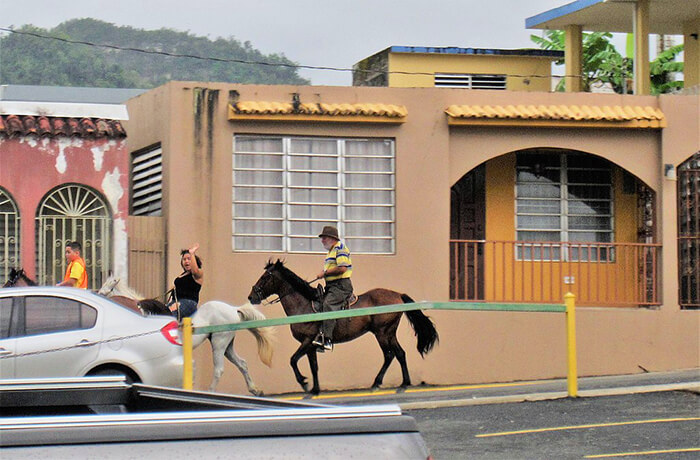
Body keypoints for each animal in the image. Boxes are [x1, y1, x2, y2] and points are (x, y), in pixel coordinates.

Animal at [246, 260, 434, 394]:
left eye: (265, 276)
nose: (251, 296)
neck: (303, 305)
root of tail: (398, 295)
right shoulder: (311, 345)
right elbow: (314, 366)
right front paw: (314, 390)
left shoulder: (307, 341)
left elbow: (293, 360)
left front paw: (304, 383)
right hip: (389, 333)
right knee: (400, 353)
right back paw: (403, 384)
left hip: (382, 333)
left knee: (389, 355)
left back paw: (377, 383)